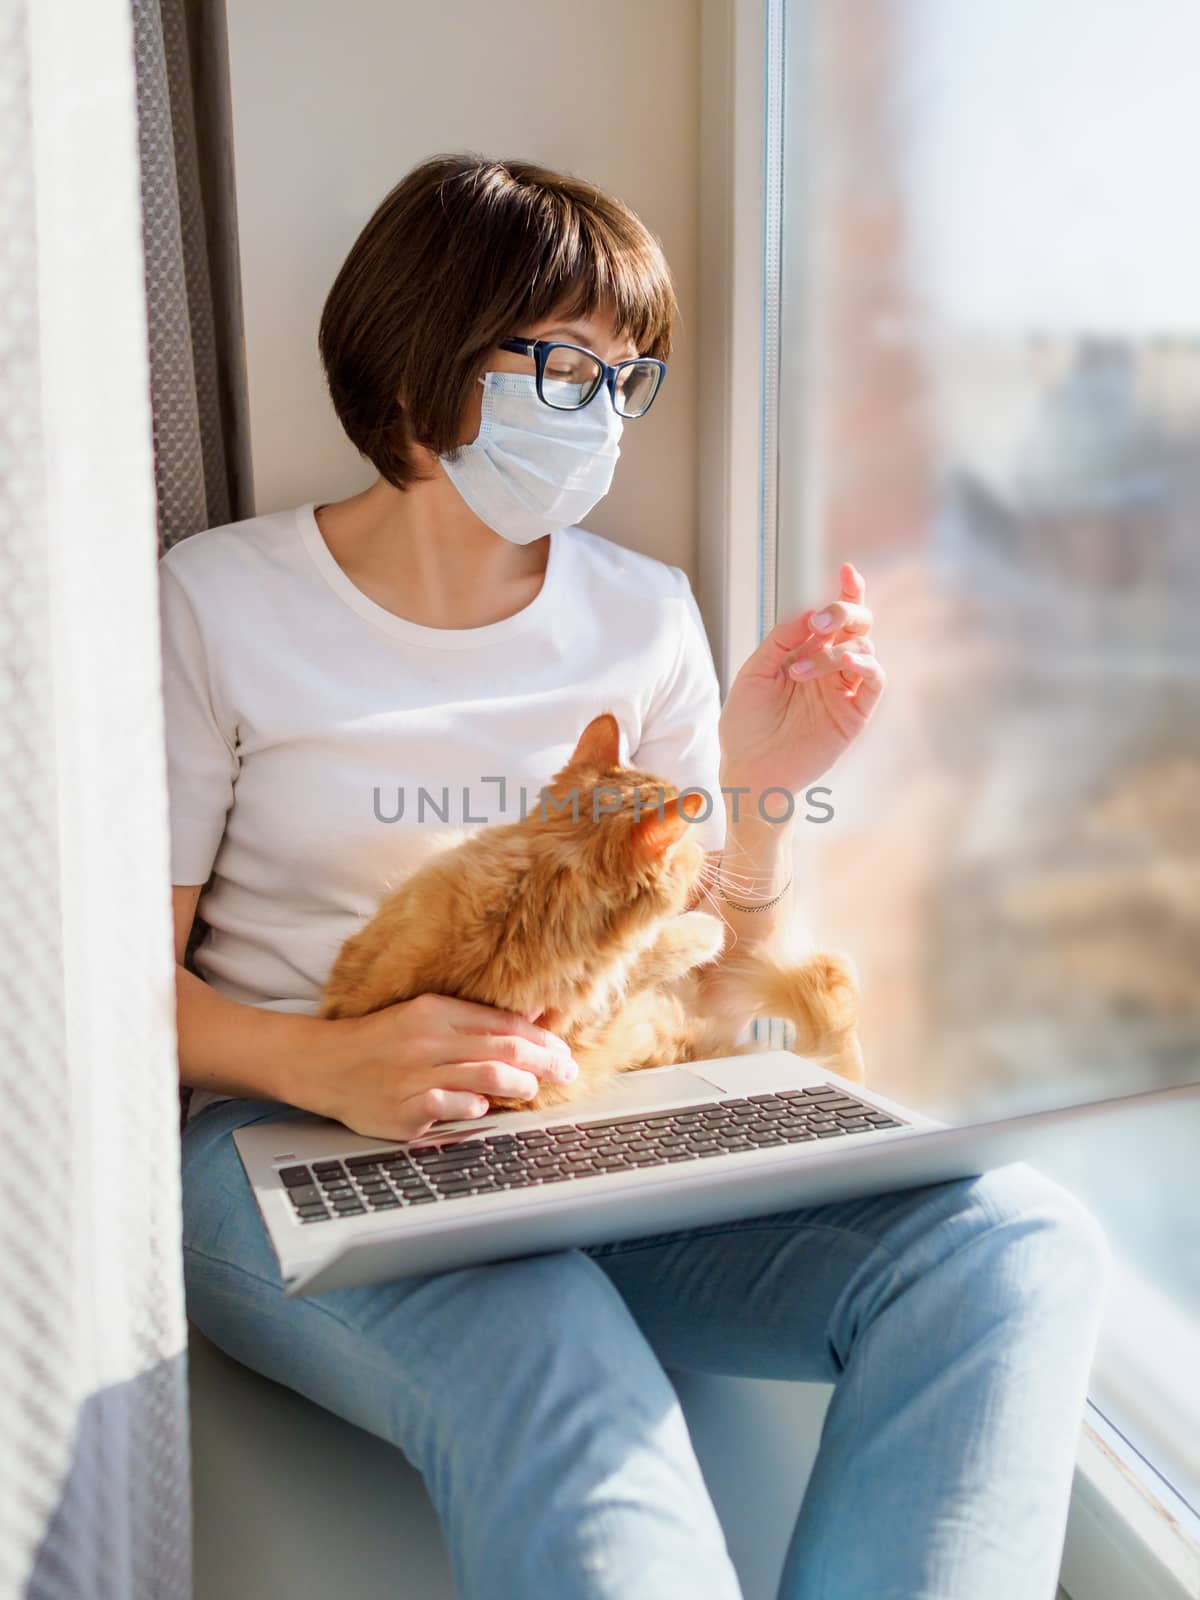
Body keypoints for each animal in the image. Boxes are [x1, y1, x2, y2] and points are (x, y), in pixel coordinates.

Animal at [320, 716, 864, 1113]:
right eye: (686, 841)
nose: (700, 854)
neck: (527, 891)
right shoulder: (598, 998)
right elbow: (662, 947)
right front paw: (703, 930)